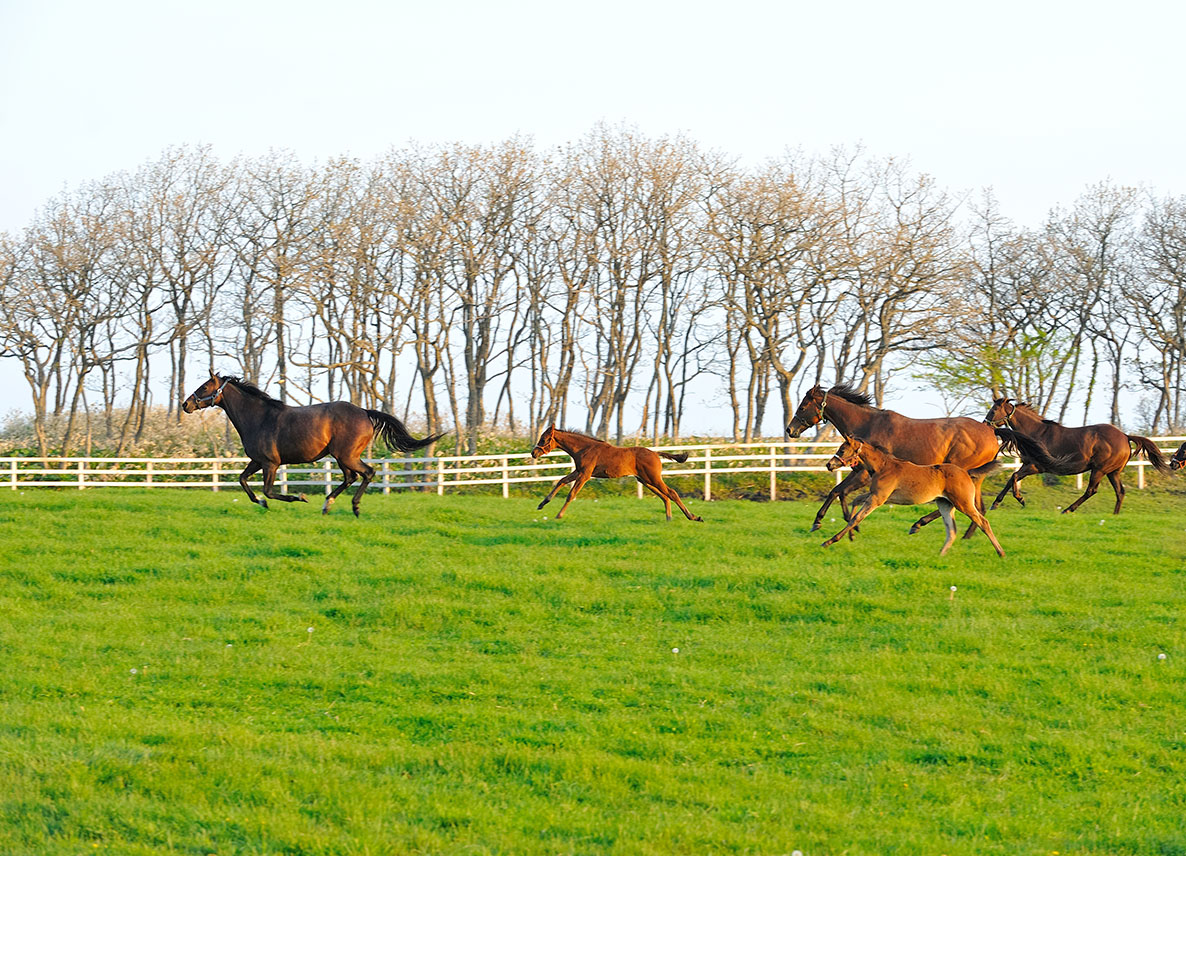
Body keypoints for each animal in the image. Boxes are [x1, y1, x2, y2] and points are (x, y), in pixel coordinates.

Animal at [180, 372, 445, 514]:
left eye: (204, 386)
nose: (186, 404)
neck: (259, 417)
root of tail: (364, 412)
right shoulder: (257, 461)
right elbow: (243, 481)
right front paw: (261, 503)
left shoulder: (270, 463)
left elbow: (268, 490)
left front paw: (299, 498)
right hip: (342, 457)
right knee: (351, 477)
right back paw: (328, 505)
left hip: (346, 455)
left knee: (367, 473)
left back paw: (354, 507)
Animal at [531, 424, 702, 521]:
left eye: (544, 439)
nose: (533, 453)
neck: (584, 449)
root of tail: (655, 453)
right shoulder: (579, 471)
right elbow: (561, 480)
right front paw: (541, 504)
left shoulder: (585, 474)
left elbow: (571, 494)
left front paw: (559, 515)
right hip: (644, 480)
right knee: (664, 496)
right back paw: (669, 518)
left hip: (653, 478)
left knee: (671, 493)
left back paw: (693, 517)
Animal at [792, 386, 1053, 535]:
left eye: (803, 406)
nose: (790, 429)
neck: (868, 424)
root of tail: (991, 430)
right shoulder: (862, 470)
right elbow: (840, 491)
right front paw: (850, 523)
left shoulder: (865, 472)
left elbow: (838, 490)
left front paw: (823, 522)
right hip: (973, 476)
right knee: (978, 507)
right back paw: (968, 534)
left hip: (961, 472)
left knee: (964, 505)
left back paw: (920, 524)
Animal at [830, 434, 1005, 554]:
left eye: (842, 449)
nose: (829, 464)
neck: (883, 466)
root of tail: (966, 472)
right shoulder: (876, 495)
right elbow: (855, 503)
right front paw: (852, 535)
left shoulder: (878, 498)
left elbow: (857, 517)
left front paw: (831, 540)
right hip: (945, 504)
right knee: (952, 530)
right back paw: (939, 555)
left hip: (963, 503)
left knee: (983, 522)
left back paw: (1001, 552)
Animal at [982, 396, 1167, 514]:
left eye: (993, 410)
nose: (985, 424)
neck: (1036, 433)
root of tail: (1125, 436)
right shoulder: (1026, 464)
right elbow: (1011, 479)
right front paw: (995, 504)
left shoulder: (1036, 466)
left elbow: (1013, 477)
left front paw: (1021, 499)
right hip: (1113, 472)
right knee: (1120, 492)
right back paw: (1114, 515)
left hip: (1099, 469)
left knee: (1091, 490)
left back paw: (1067, 509)